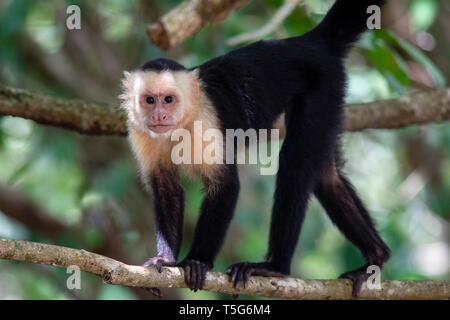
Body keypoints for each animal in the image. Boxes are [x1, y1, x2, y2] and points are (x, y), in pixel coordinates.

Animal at [119, 0, 390, 298]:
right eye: (149, 100)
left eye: (168, 99)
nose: (159, 115)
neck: (182, 121)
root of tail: (309, 41)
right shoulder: (140, 132)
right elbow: (167, 187)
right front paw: (166, 259)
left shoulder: (205, 121)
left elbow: (225, 185)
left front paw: (197, 261)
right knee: (325, 175)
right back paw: (377, 256)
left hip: (324, 85)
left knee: (295, 166)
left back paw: (275, 268)